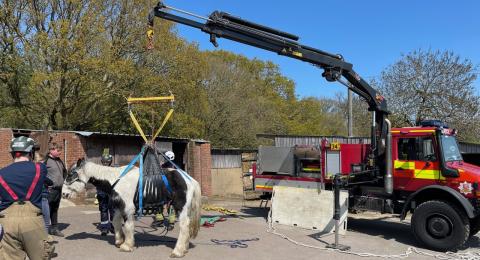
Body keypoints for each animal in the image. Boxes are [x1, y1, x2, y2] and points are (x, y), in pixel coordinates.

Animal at [62, 157, 201, 256]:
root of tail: (190, 179)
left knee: (184, 226)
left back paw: (178, 251)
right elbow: (116, 222)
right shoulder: (118, 207)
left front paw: (127, 246)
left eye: (70, 174)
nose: (63, 193)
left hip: (180, 207)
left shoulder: (128, 209)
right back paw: (184, 248)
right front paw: (119, 241)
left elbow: (128, 226)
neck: (116, 179)